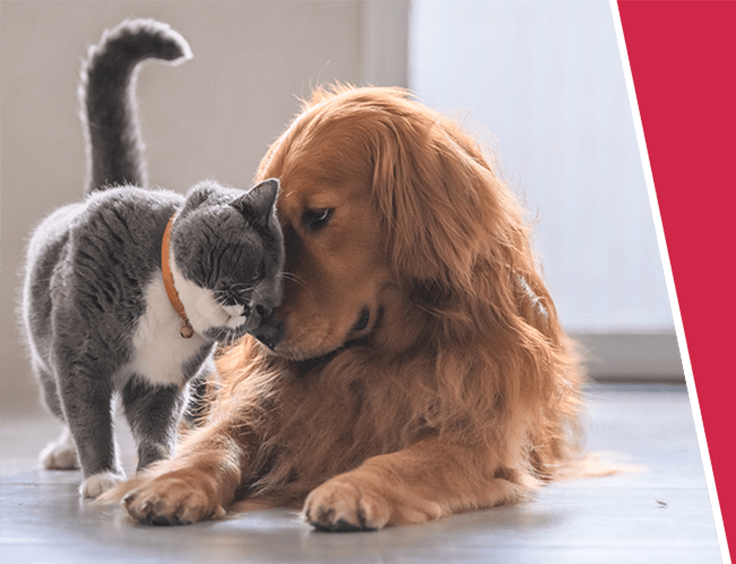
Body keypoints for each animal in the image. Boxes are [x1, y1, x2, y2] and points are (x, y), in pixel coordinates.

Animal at [20, 18, 284, 498]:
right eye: (257, 270)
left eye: (272, 303)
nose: (255, 308)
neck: (168, 304)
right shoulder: (80, 357)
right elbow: (88, 415)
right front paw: (102, 477)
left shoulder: (163, 378)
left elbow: (155, 425)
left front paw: (156, 472)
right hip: (46, 356)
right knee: (62, 405)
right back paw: (65, 453)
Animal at [110, 86, 580, 532]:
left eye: (319, 215)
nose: (261, 332)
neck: (377, 356)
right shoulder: (264, 407)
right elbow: (215, 443)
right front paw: (171, 482)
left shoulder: (479, 439)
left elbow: (407, 461)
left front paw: (352, 489)